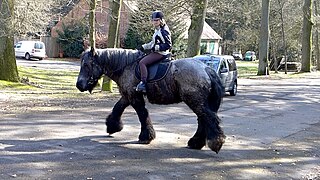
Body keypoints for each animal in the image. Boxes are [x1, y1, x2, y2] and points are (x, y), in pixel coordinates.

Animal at [75, 47, 225, 153]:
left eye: (87, 65)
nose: (79, 85)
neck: (126, 66)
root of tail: (206, 68)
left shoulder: (134, 96)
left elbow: (142, 114)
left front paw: (146, 136)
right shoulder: (128, 95)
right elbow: (118, 108)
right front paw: (113, 126)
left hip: (194, 100)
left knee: (208, 117)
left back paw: (216, 141)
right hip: (199, 101)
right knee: (203, 119)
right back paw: (196, 143)